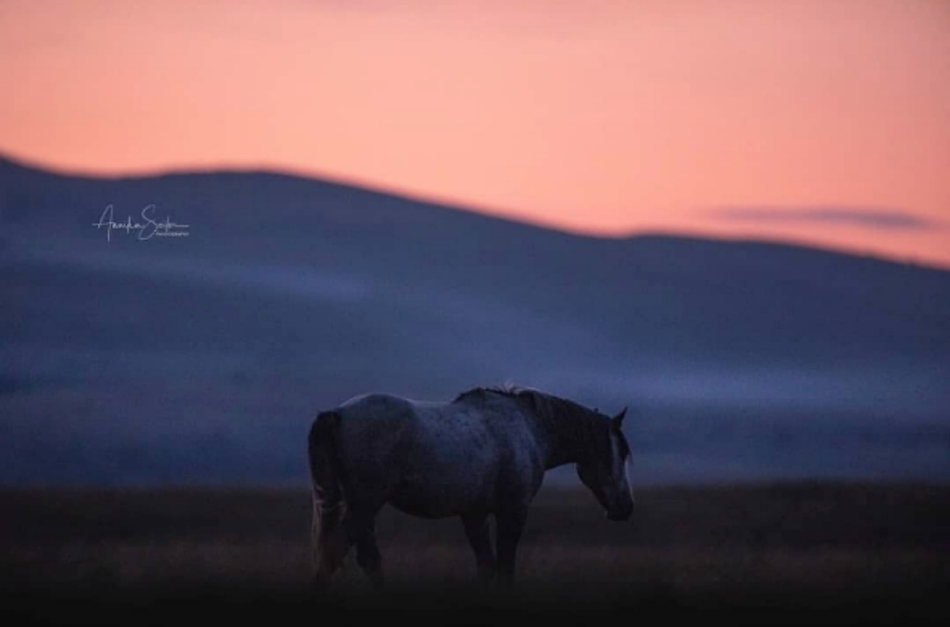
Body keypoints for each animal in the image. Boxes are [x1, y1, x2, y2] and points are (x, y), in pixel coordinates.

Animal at [308, 382, 636, 588]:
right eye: (620, 452)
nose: (626, 507)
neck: (530, 428)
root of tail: (337, 414)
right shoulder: (513, 512)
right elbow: (504, 568)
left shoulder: (474, 514)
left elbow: (487, 566)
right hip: (365, 504)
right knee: (341, 554)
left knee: (354, 556)